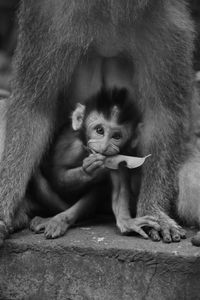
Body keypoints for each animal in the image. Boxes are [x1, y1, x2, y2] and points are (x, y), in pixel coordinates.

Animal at [29, 86, 159, 239]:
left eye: (116, 136)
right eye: (99, 130)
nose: (104, 147)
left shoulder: (117, 158)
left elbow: (119, 187)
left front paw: (126, 221)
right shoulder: (71, 148)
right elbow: (57, 176)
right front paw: (90, 170)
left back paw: (61, 219)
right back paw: (53, 219)